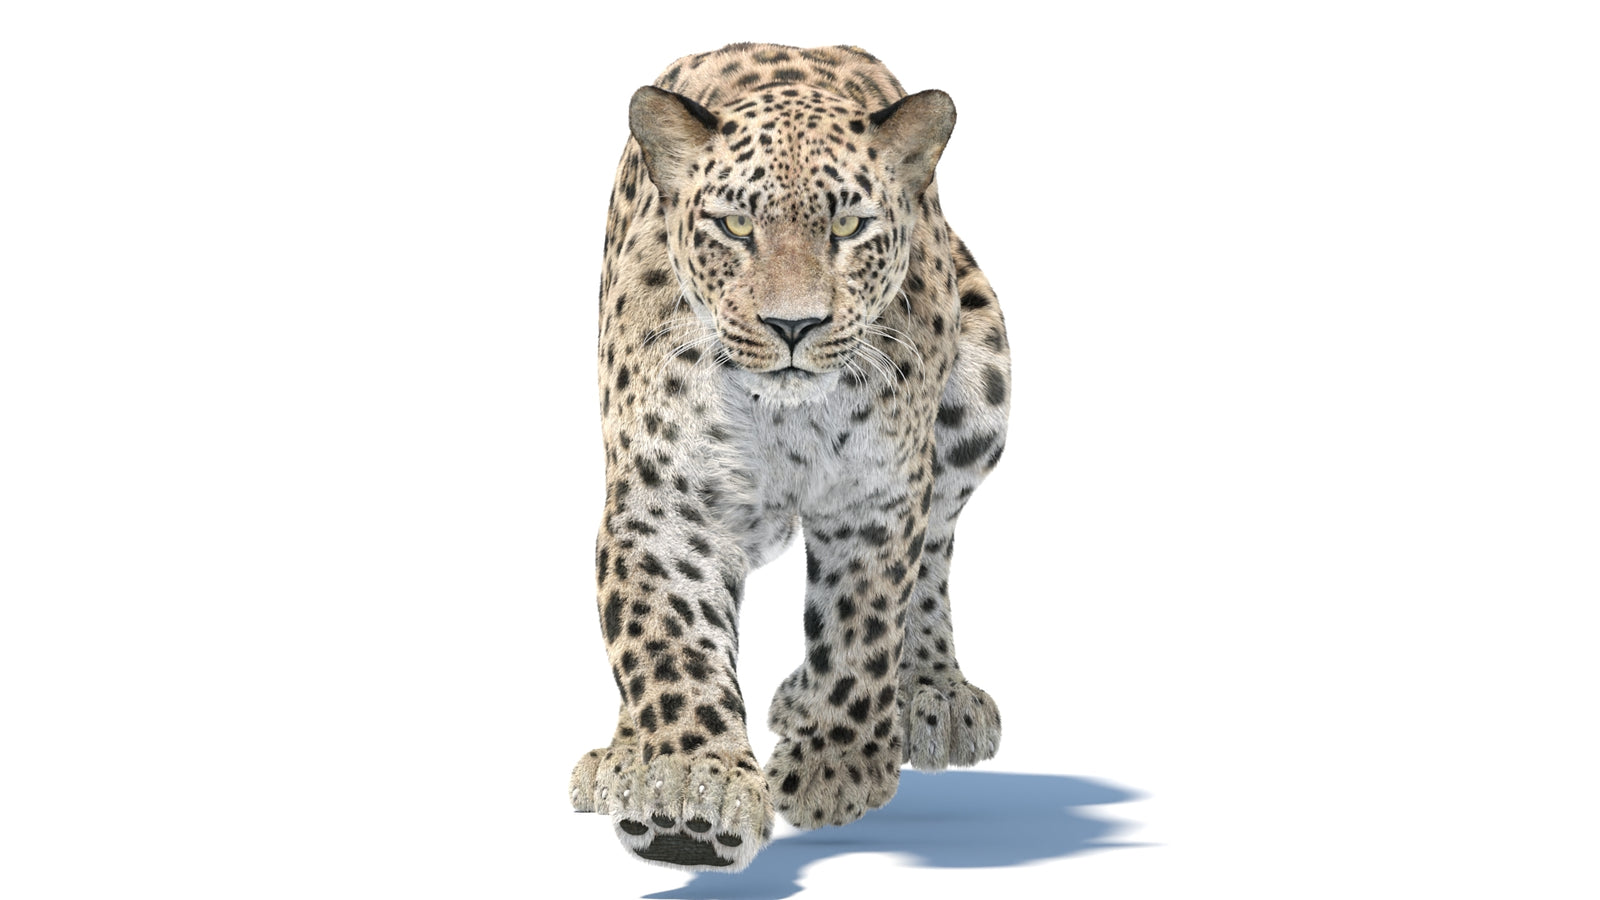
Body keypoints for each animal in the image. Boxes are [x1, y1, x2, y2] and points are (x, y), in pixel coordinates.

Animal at [567, 43, 1011, 873]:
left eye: (850, 225)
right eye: (736, 224)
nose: (794, 325)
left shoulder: (879, 494)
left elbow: (863, 626)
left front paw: (834, 766)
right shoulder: (665, 499)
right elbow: (667, 639)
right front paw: (686, 791)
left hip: (980, 393)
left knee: (935, 549)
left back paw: (929, 695)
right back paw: (621, 756)